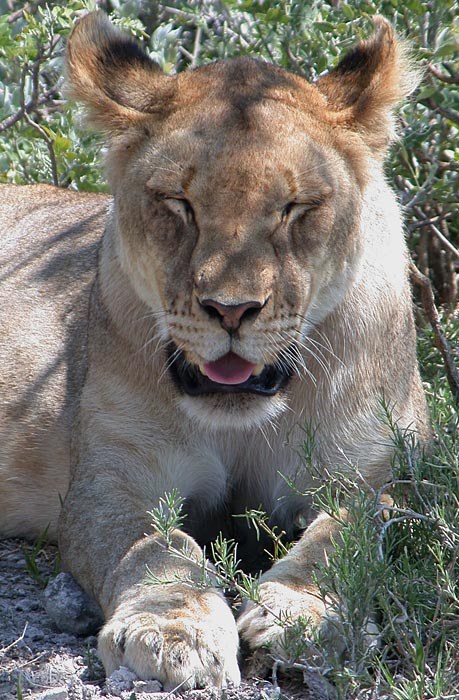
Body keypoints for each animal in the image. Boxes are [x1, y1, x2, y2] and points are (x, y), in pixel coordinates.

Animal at [0, 11, 429, 690]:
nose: (231, 310)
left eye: (295, 207)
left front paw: (301, 616)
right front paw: (174, 629)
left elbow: (349, 534)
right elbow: (156, 546)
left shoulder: (384, 472)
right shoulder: (112, 478)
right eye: (180, 203)